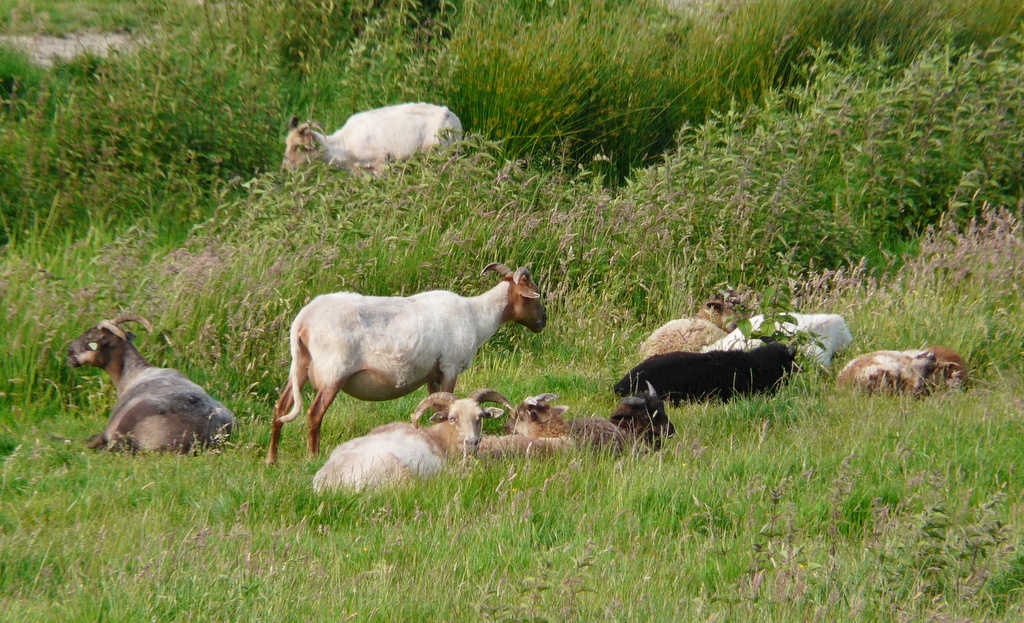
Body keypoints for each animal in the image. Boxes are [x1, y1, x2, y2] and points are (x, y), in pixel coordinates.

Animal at [284, 102, 468, 175]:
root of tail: (453, 117)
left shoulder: (380, 162)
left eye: (299, 146)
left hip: (438, 151)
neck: (342, 145)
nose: (285, 167)